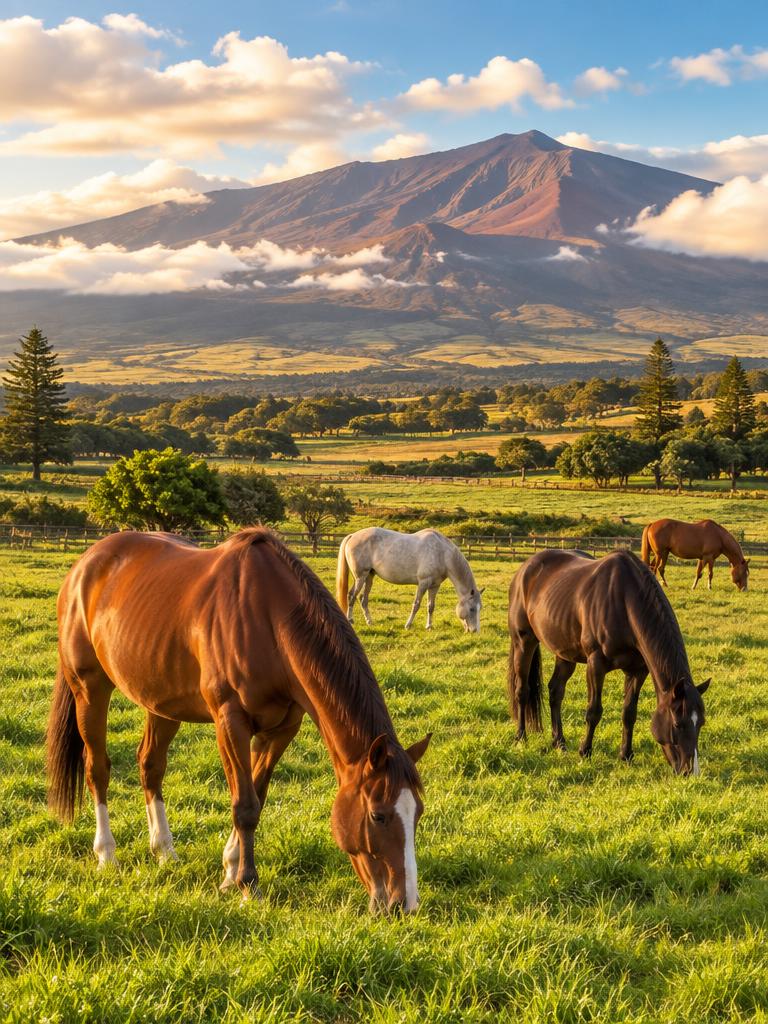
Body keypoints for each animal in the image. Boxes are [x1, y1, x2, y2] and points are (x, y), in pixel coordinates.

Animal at [47, 528, 431, 913]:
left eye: (418, 813)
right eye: (378, 815)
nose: (404, 904)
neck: (271, 620)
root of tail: (85, 564)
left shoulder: (282, 729)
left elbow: (256, 796)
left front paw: (231, 871)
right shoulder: (231, 722)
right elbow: (245, 805)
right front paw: (248, 885)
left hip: (161, 702)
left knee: (150, 766)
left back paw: (165, 851)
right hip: (90, 688)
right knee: (97, 768)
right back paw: (106, 854)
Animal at [336, 527, 484, 632]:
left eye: (479, 608)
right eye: (471, 609)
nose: (474, 630)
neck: (442, 554)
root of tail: (352, 536)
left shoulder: (434, 586)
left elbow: (431, 606)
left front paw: (429, 626)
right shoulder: (423, 583)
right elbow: (416, 605)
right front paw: (408, 625)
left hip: (369, 576)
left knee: (363, 599)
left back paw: (369, 621)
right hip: (360, 577)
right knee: (352, 596)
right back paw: (350, 620)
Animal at [507, 549, 710, 774]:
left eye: (700, 723)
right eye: (676, 724)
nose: (690, 771)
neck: (625, 602)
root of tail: (525, 570)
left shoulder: (638, 670)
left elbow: (629, 713)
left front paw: (626, 755)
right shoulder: (596, 664)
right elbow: (594, 711)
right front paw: (585, 752)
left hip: (565, 653)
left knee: (555, 692)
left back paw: (559, 743)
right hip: (524, 642)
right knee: (522, 690)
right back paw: (520, 738)